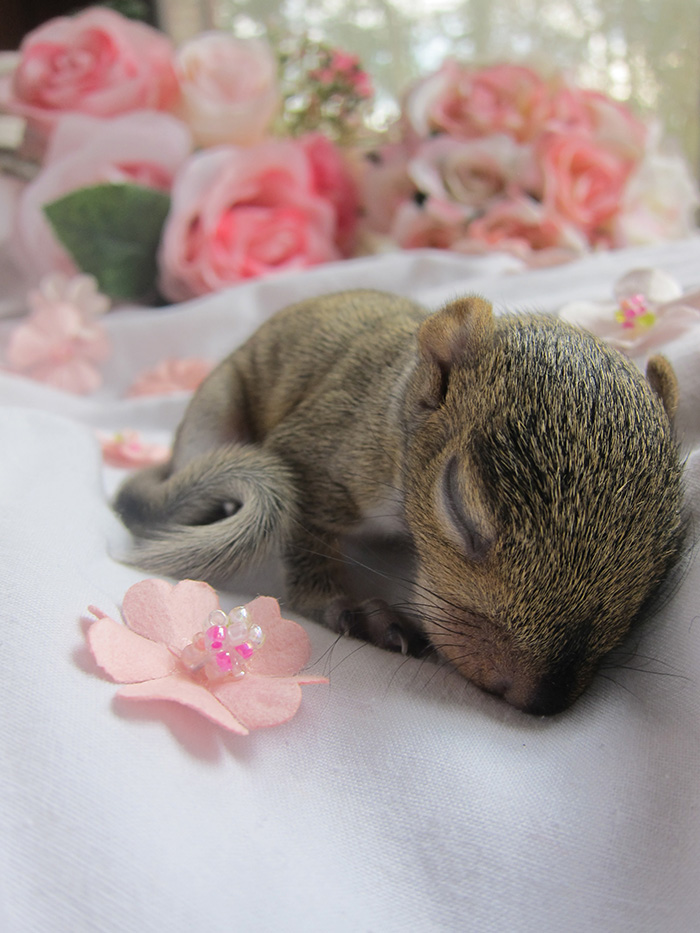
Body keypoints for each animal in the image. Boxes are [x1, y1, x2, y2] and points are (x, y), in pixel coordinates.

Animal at [115, 290, 684, 712]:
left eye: (668, 552)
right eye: (459, 507)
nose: (539, 698)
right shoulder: (320, 453)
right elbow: (306, 542)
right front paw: (350, 608)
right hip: (212, 418)